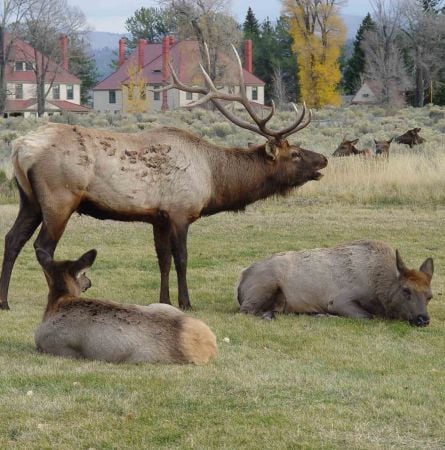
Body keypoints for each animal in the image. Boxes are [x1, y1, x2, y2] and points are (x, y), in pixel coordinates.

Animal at [0, 43, 326, 310]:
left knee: (12, 238)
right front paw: (186, 302)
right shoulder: (181, 211)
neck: (213, 181)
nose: (322, 158)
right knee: (42, 247)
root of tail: (20, 147)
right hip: (60, 198)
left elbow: (162, 260)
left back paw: (4, 302)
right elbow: (181, 258)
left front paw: (164, 300)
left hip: (29, 199)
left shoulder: (158, 217)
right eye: (295, 154)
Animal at [33, 250, 216, 366]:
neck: (57, 303)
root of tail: (212, 345)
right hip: (162, 306)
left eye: (84, 273)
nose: (89, 282)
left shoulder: (52, 346)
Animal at [236, 239, 434, 326]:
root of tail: (242, 276)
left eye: (429, 296)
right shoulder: (339, 300)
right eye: (406, 290)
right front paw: (323, 315)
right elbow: (367, 316)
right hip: (265, 285)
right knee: (245, 311)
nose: (423, 319)